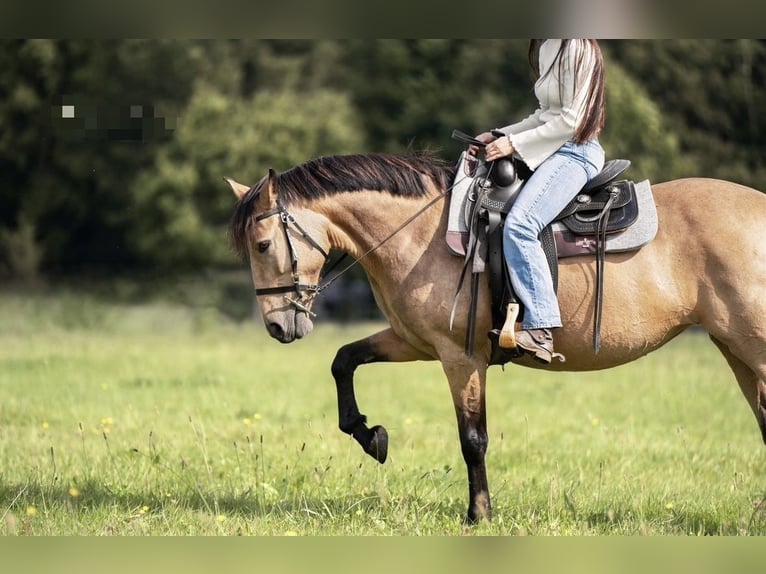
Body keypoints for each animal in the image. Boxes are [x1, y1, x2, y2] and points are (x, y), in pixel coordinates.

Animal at [225, 153, 766, 528]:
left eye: (263, 244)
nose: (278, 327)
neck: (422, 234)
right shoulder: (413, 342)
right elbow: (344, 360)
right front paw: (369, 434)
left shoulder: (460, 356)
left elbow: (472, 439)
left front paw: (479, 514)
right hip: (737, 352)